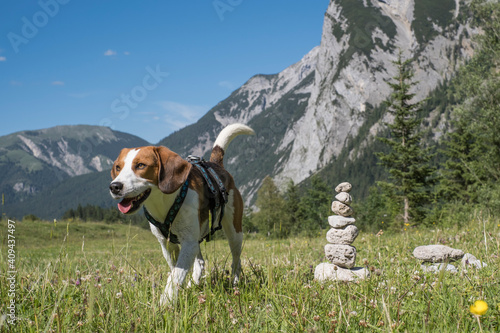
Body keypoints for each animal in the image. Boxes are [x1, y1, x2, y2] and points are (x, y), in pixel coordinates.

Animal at [107, 122, 252, 304]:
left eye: (141, 165)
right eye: (118, 167)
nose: (114, 186)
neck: (163, 202)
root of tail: (217, 166)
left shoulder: (188, 243)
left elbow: (176, 275)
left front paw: (165, 303)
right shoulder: (168, 245)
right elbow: (176, 270)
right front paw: (179, 292)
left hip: (234, 232)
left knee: (236, 261)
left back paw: (235, 283)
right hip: (197, 238)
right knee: (200, 263)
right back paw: (194, 285)